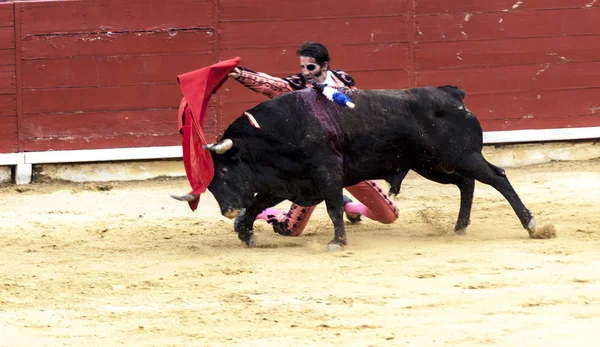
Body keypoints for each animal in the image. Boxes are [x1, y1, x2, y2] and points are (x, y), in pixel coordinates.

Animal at [204, 86, 536, 250]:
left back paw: (530, 223)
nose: (228, 211)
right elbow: (256, 205)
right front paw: (245, 234)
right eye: (209, 183)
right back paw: (460, 227)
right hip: (433, 165)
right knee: (466, 184)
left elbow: (334, 207)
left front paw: (337, 242)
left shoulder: (327, 172)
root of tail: (453, 95)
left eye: (224, 173)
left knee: (497, 177)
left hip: (463, 156)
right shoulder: (285, 182)